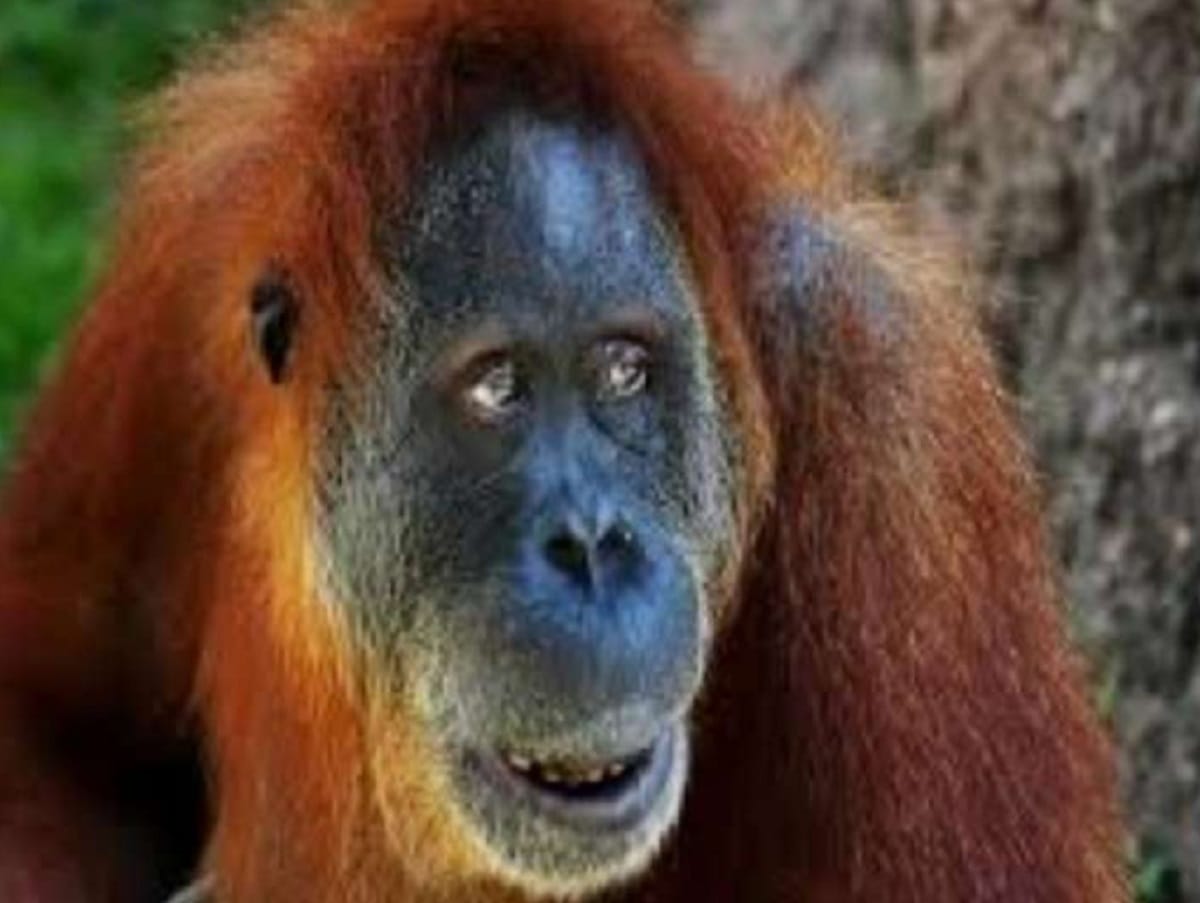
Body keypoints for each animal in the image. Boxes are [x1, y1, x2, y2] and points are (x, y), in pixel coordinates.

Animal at [0, 0, 1129, 901]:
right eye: (496, 386)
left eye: (623, 371)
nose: (591, 544)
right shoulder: (175, 281)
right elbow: (57, 723)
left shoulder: (884, 387)